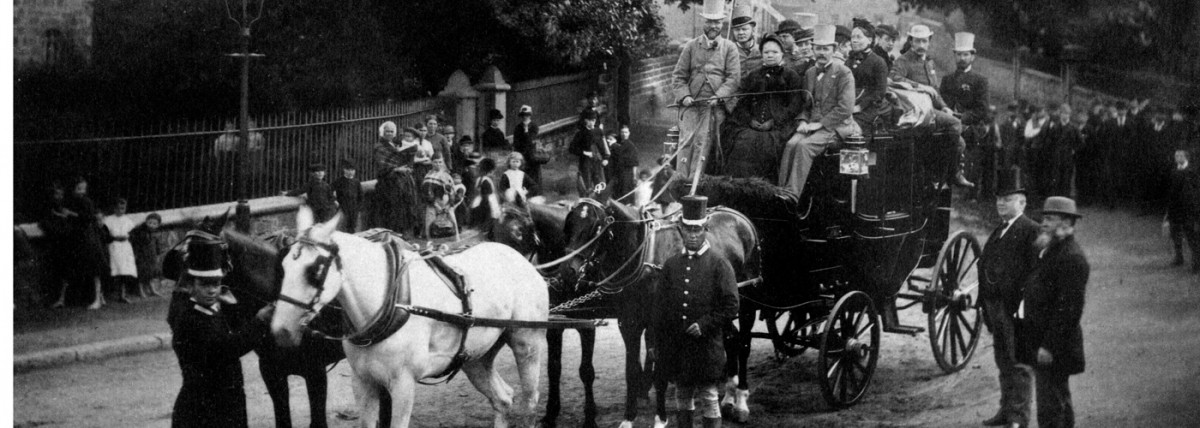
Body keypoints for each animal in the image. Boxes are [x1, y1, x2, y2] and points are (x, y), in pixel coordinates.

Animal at [272, 205, 549, 424]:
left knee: (530, 403)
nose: (280, 331)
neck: (389, 302)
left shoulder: (403, 385)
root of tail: (522, 261)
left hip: (527, 343)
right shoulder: (362, 382)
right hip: (475, 358)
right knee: (503, 400)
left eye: (315, 270)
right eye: (283, 266)